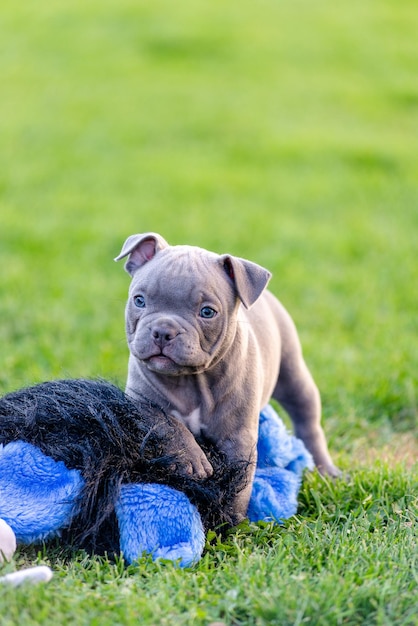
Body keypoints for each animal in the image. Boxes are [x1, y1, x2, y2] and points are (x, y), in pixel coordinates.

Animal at [115, 232, 340, 520]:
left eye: (207, 312)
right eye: (139, 300)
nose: (163, 331)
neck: (191, 380)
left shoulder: (237, 437)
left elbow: (238, 483)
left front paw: (231, 520)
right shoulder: (140, 401)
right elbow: (166, 422)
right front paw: (191, 459)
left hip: (293, 375)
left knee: (308, 422)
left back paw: (326, 470)